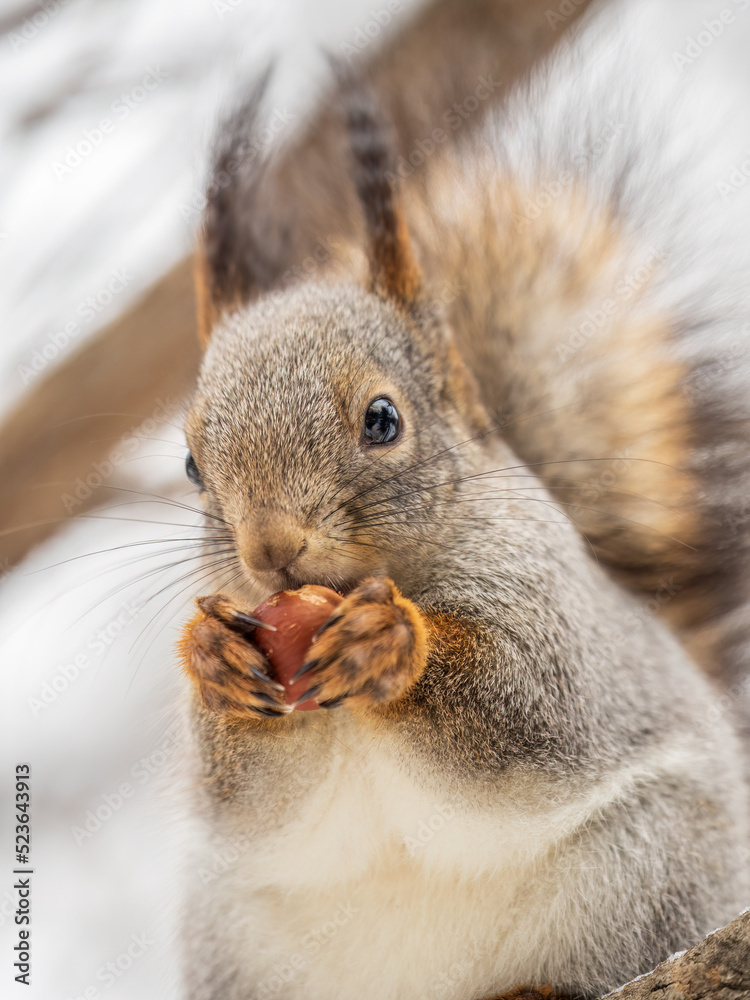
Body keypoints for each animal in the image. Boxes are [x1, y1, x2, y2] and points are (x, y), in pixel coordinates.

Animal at [176, 0, 750, 997]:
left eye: (382, 419)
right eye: (189, 466)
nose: (269, 553)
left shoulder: (550, 602)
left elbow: (530, 706)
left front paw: (391, 642)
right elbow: (250, 801)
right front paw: (212, 660)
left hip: (655, 859)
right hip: (234, 938)